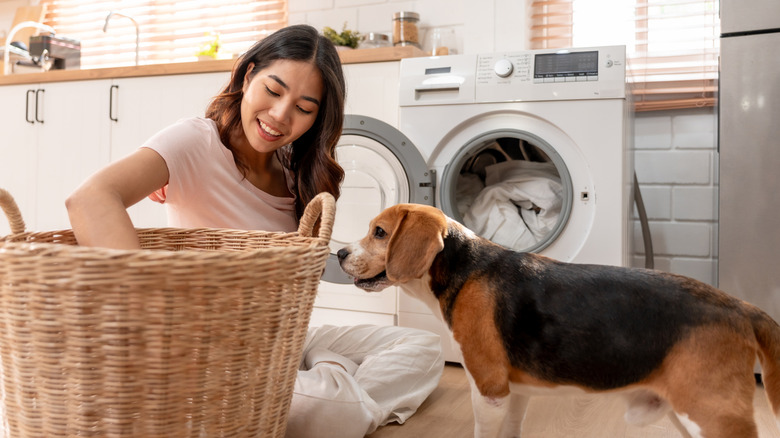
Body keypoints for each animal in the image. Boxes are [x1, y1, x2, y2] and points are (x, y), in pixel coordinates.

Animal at [338, 204, 780, 436]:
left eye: (379, 232)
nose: (340, 253)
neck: (463, 268)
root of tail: (740, 307)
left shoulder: (489, 390)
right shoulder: (515, 394)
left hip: (711, 415)